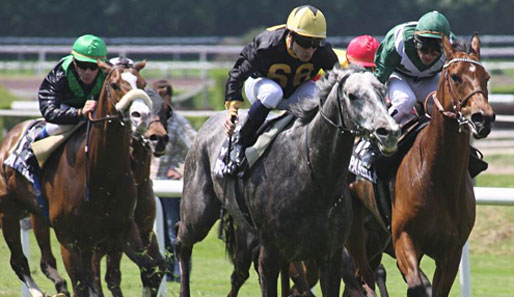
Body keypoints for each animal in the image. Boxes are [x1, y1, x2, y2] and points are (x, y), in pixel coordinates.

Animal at [0, 60, 164, 296]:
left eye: (142, 84)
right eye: (115, 85)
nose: (140, 115)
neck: (100, 176)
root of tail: (9, 136)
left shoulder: (122, 229)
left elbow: (152, 268)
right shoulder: (69, 240)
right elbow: (82, 284)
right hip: (9, 213)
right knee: (19, 261)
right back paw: (40, 290)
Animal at [174, 65, 398, 296]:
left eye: (382, 91)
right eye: (352, 95)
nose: (388, 132)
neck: (316, 180)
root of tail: (207, 124)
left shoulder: (330, 257)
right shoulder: (269, 256)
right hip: (199, 212)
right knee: (182, 242)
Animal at [344, 33, 492, 296]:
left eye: (486, 77)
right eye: (455, 76)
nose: (482, 118)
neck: (438, 176)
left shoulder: (451, 253)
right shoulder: (404, 239)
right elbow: (417, 285)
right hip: (355, 230)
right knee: (362, 278)